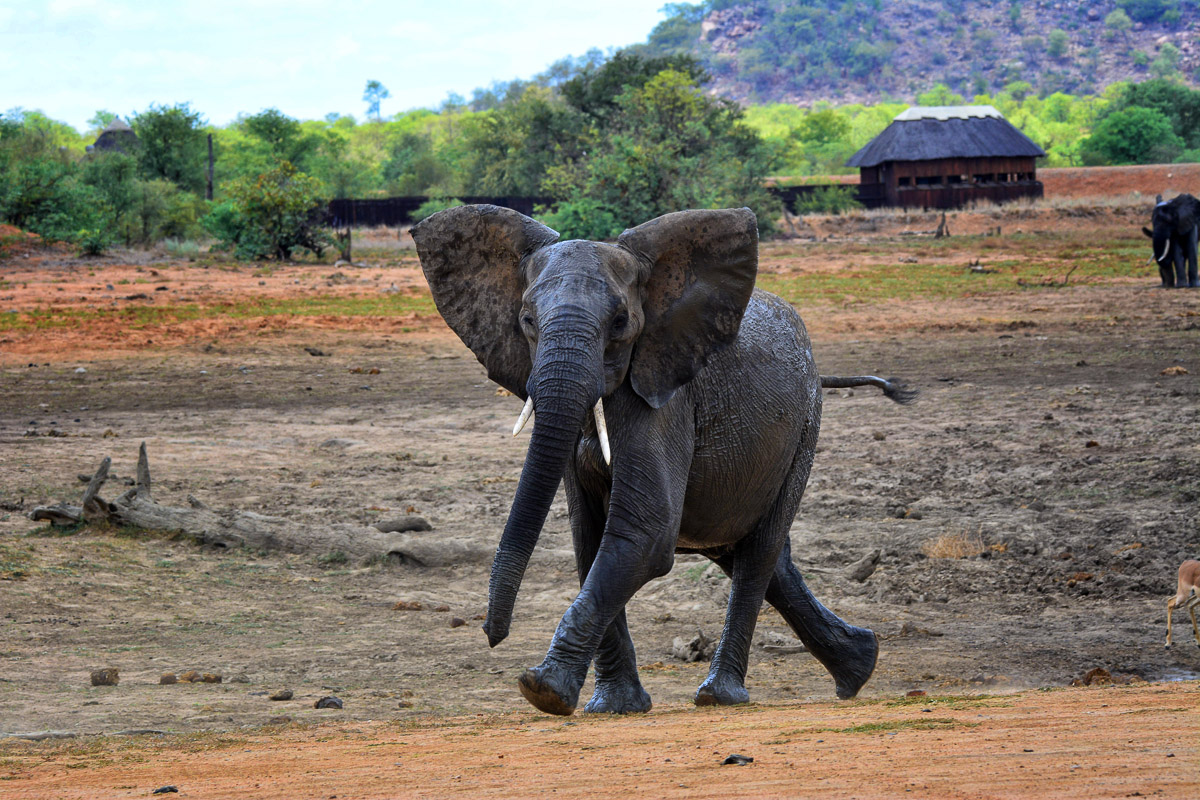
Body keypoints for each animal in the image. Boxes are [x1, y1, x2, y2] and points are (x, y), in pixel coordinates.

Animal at [412, 204, 914, 716]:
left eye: (620, 322)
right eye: (528, 320)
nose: (493, 635)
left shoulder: (664, 401)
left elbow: (645, 533)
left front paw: (543, 690)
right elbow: (589, 538)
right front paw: (612, 706)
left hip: (805, 426)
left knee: (758, 552)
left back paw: (721, 695)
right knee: (750, 552)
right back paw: (859, 666)